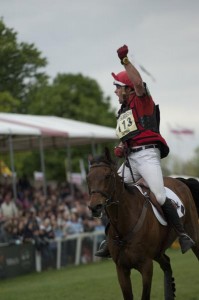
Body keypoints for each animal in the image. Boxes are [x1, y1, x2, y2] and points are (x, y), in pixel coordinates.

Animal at [86, 149, 199, 300]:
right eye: (88, 178)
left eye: (107, 176)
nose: (95, 207)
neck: (124, 225)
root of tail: (180, 181)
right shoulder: (121, 269)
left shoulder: (146, 266)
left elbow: (145, 295)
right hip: (158, 252)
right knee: (167, 263)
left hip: (194, 237)